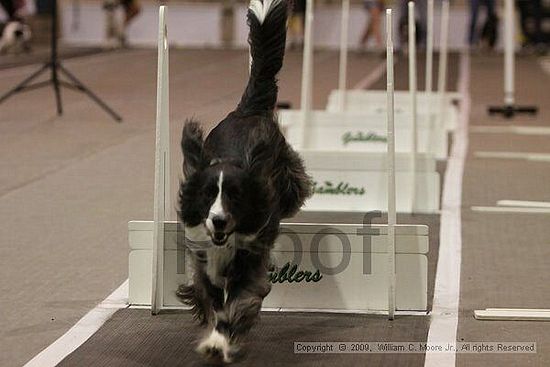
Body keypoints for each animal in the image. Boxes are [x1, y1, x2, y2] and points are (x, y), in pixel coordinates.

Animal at [178, 0, 312, 364]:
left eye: (235, 196)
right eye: (208, 194)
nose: (219, 220)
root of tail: (246, 110)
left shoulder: (250, 263)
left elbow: (236, 304)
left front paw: (220, 341)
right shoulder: (204, 258)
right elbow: (211, 300)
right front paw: (212, 335)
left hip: (288, 176)